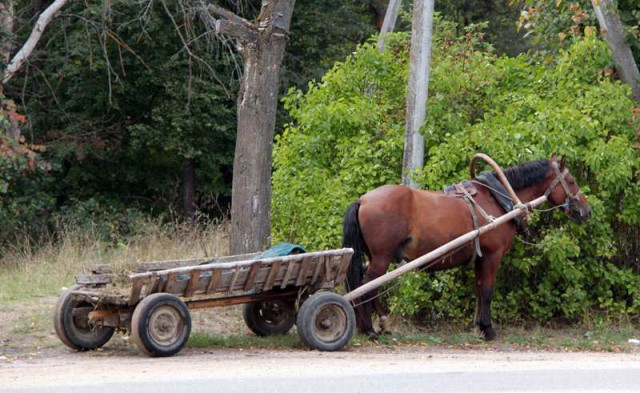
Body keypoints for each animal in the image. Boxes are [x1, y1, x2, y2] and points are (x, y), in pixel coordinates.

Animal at [342, 155, 592, 338]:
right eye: (571, 181)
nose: (586, 211)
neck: (497, 199)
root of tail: (363, 200)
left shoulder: (480, 258)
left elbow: (479, 290)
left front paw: (477, 325)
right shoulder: (492, 256)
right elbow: (488, 291)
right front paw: (488, 329)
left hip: (375, 257)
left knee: (367, 284)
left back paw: (379, 324)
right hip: (382, 257)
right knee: (366, 285)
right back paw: (369, 329)